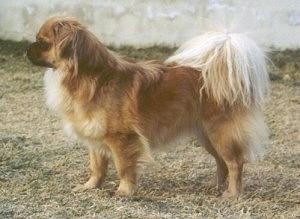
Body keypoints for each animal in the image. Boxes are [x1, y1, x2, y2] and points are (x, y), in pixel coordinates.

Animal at [26, 16, 270, 198]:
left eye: (42, 42)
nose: (27, 48)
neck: (92, 78)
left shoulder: (122, 139)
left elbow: (124, 167)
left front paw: (124, 192)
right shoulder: (95, 136)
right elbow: (97, 167)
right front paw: (90, 187)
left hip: (220, 133)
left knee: (235, 163)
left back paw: (232, 194)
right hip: (206, 136)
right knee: (222, 162)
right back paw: (217, 187)